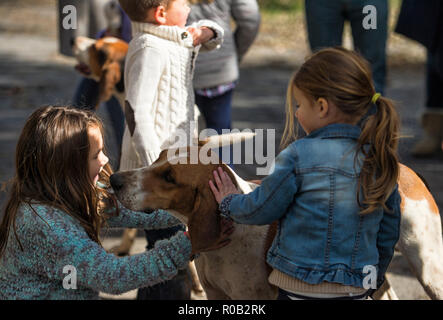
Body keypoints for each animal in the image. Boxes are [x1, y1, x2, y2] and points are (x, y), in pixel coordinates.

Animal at [110, 136, 443, 300]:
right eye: (158, 157)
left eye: (169, 177)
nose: (114, 180)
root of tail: (403, 170)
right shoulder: (216, 294)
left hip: (429, 271)